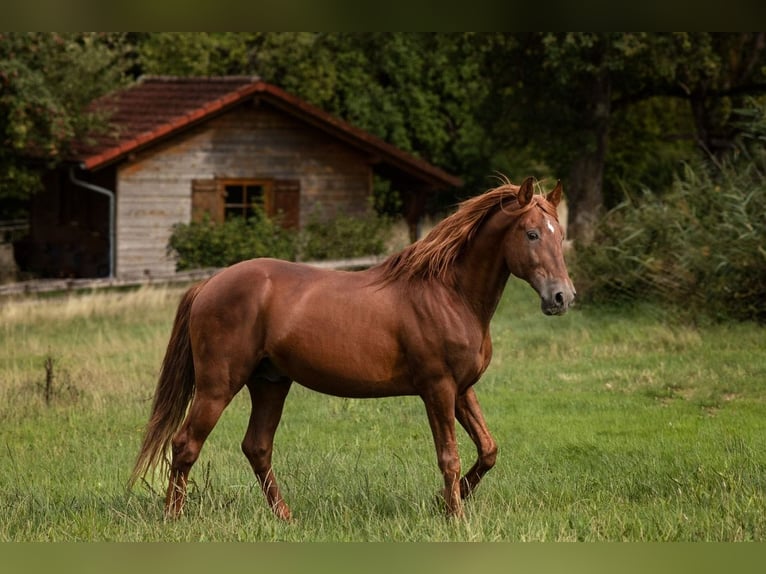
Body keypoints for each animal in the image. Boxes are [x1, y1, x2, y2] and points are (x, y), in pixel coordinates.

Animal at [130, 178, 576, 520]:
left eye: (560, 234)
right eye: (532, 233)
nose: (562, 297)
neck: (449, 293)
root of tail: (209, 283)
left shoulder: (462, 389)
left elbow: (488, 450)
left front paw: (442, 504)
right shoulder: (438, 389)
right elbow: (448, 456)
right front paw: (455, 517)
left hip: (270, 383)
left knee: (256, 447)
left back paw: (286, 517)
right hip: (218, 386)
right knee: (186, 443)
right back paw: (174, 517)